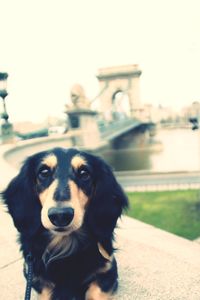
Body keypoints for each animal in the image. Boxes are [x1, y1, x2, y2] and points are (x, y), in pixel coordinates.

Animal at [2, 148, 128, 300]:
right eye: (44, 172)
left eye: (84, 173)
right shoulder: (37, 278)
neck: (65, 246)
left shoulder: (107, 271)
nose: (60, 215)